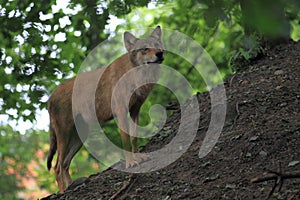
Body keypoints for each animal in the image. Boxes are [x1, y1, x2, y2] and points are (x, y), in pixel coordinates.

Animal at [47, 25, 165, 191]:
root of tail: (50, 97)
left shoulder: (135, 110)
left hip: (79, 139)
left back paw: (71, 186)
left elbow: (134, 138)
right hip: (64, 136)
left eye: (158, 47)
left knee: (64, 164)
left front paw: (138, 156)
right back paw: (63, 191)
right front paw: (131, 163)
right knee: (57, 166)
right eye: (145, 49)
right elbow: (126, 140)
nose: (159, 54)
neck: (136, 75)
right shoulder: (121, 113)